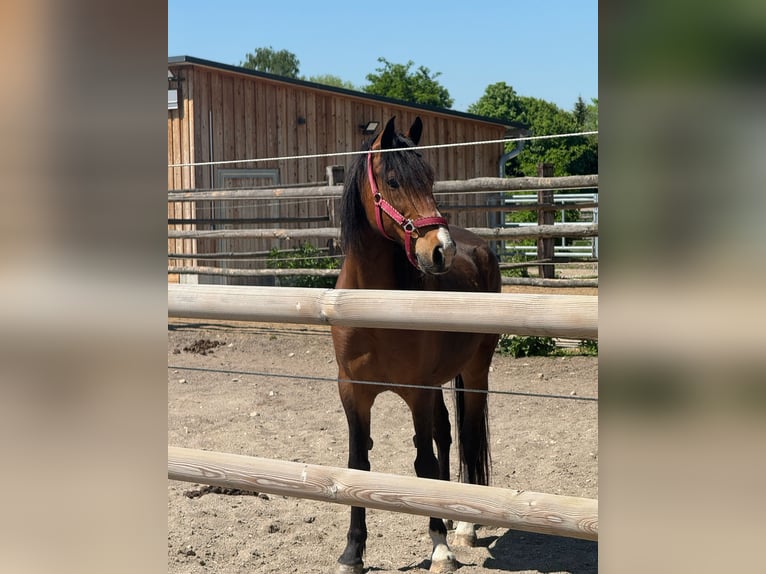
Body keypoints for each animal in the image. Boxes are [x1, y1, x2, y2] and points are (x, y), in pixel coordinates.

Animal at [331, 116, 501, 573]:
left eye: (430, 178)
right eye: (393, 180)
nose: (441, 250)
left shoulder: (416, 391)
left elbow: (423, 463)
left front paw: (439, 546)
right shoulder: (353, 392)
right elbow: (358, 464)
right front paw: (352, 552)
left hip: (474, 373)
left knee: (467, 436)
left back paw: (464, 528)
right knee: (446, 433)